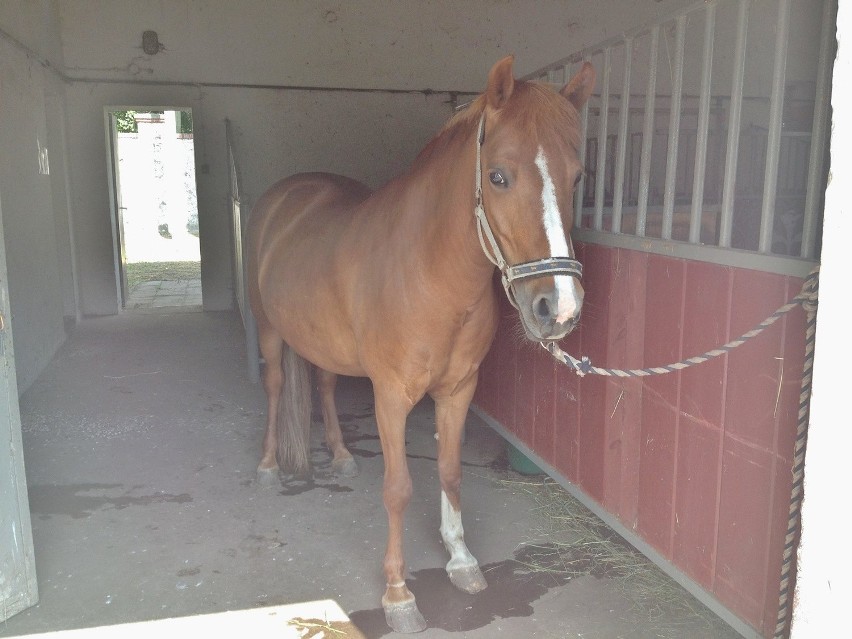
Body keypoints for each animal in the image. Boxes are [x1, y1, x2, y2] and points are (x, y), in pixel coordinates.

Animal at [246, 56, 592, 636]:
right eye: (498, 176)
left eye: (577, 176)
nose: (558, 308)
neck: (431, 274)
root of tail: (283, 197)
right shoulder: (391, 396)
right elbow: (399, 488)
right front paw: (398, 595)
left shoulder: (458, 390)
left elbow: (450, 472)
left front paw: (462, 561)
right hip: (270, 331)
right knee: (273, 386)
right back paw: (270, 467)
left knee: (324, 384)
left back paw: (341, 457)